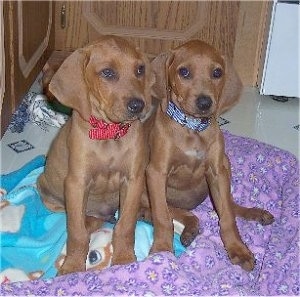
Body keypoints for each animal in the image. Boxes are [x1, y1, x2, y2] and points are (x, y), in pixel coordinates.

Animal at [37, 35, 154, 274]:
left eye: (140, 69)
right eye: (107, 73)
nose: (139, 105)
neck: (109, 133)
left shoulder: (134, 180)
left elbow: (125, 226)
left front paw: (124, 260)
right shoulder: (76, 183)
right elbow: (77, 233)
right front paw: (72, 267)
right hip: (46, 189)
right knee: (82, 221)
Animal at [147, 40, 274, 270]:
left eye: (217, 72)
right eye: (184, 72)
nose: (205, 103)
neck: (193, 128)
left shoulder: (217, 172)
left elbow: (227, 217)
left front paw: (237, 248)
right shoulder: (156, 173)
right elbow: (162, 216)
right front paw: (161, 249)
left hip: (226, 164)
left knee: (228, 205)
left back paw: (253, 213)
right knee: (171, 211)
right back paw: (187, 227)